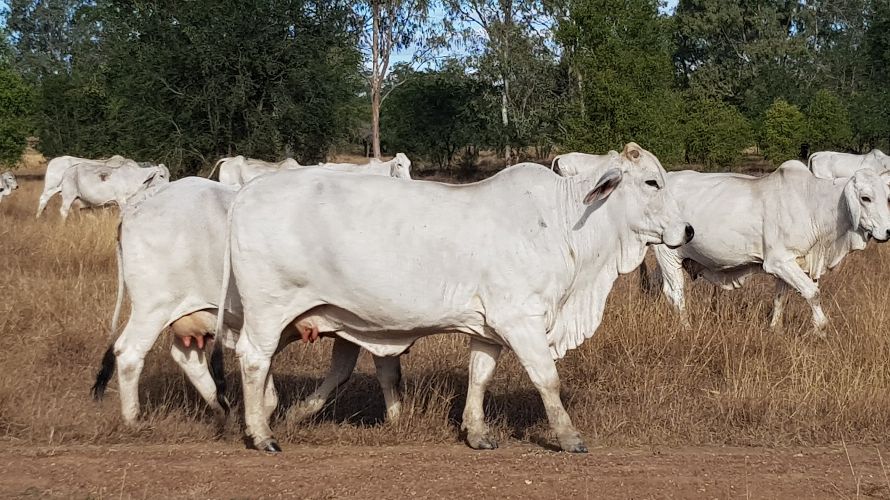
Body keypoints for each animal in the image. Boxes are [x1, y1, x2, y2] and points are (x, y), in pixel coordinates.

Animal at [88, 176, 400, 426]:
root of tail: (136, 206)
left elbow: (368, 372)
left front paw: (395, 418)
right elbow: (359, 371)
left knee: (186, 356)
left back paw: (223, 407)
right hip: (153, 307)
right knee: (130, 353)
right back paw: (134, 419)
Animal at [219, 142, 692, 454]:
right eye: (652, 181)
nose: (687, 230)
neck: (564, 223)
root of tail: (246, 194)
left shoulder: (488, 328)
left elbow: (479, 375)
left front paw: (477, 433)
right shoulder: (520, 319)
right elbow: (547, 378)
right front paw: (569, 436)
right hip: (268, 310)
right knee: (254, 358)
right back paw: (262, 434)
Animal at [644, 160, 888, 332]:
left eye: (888, 198)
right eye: (865, 198)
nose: (887, 232)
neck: (813, 204)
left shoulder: (791, 263)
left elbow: (780, 299)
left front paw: (774, 329)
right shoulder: (778, 261)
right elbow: (812, 292)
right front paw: (820, 328)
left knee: (656, 285)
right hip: (668, 255)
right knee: (675, 293)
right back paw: (687, 327)